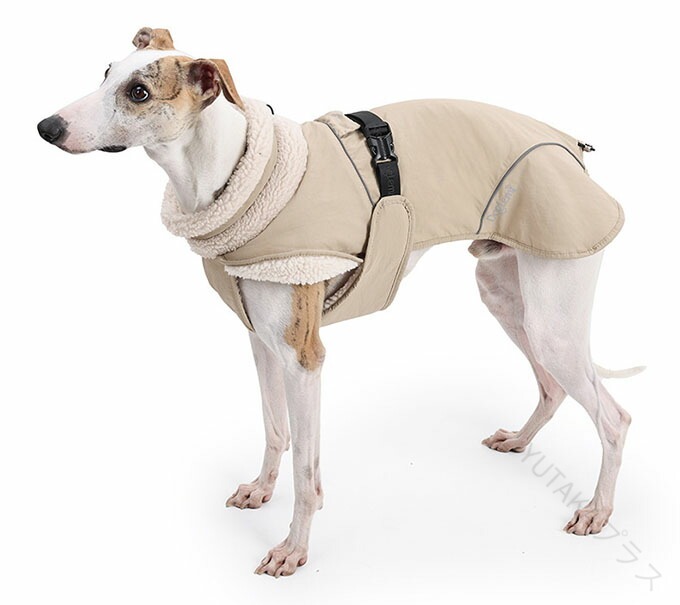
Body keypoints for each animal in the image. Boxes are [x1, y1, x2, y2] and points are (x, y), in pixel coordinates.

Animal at [37, 27, 640, 578]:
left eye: (139, 91)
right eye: (106, 72)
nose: (46, 127)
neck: (233, 171)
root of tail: (571, 147)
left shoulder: (304, 358)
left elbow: (307, 471)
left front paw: (293, 549)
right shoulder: (262, 343)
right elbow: (275, 430)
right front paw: (261, 490)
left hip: (553, 316)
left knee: (613, 417)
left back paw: (597, 511)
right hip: (507, 296)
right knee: (552, 386)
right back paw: (519, 439)